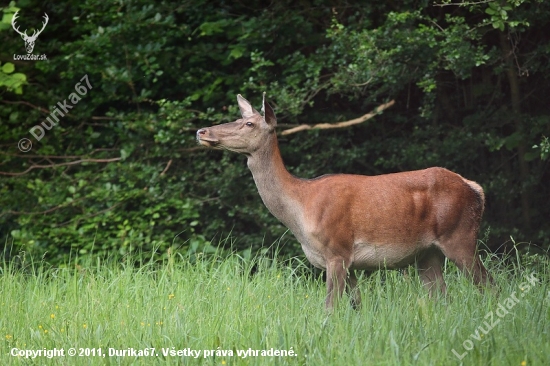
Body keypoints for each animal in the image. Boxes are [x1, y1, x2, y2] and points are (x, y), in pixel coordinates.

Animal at [198, 93, 496, 308]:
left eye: (249, 123)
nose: (202, 131)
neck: (300, 208)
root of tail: (476, 189)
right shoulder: (347, 261)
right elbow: (356, 304)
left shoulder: (337, 250)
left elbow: (330, 306)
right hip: (427, 253)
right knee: (442, 296)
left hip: (460, 235)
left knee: (489, 284)